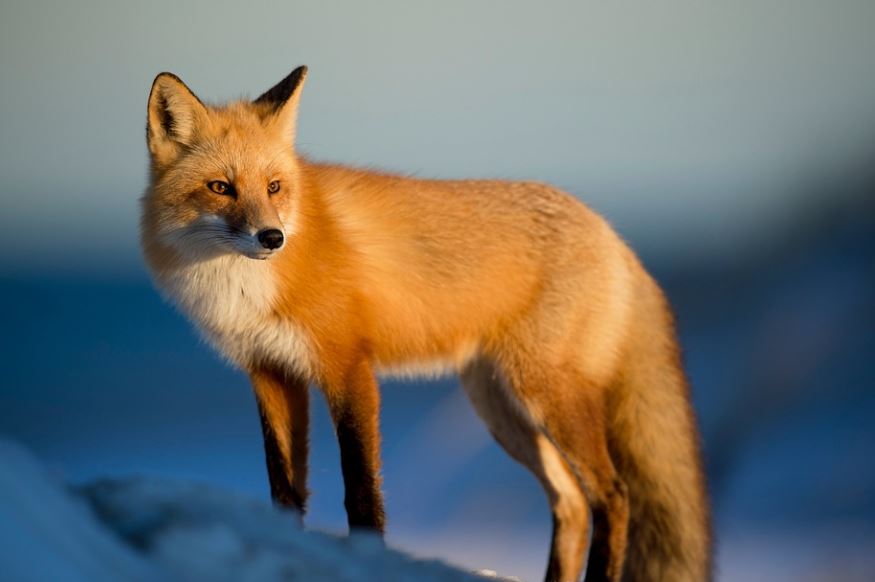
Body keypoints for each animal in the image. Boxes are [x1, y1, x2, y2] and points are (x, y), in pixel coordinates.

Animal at [140, 66, 711, 582]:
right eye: (221, 187)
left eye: (275, 187)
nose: (272, 238)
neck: (244, 287)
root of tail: (614, 235)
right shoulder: (270, 373)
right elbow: (284, 490)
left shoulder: (348, 367)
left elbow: (361, 491)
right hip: (502, 410)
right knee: (570, 503)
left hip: (546, 396)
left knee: (613, 496)